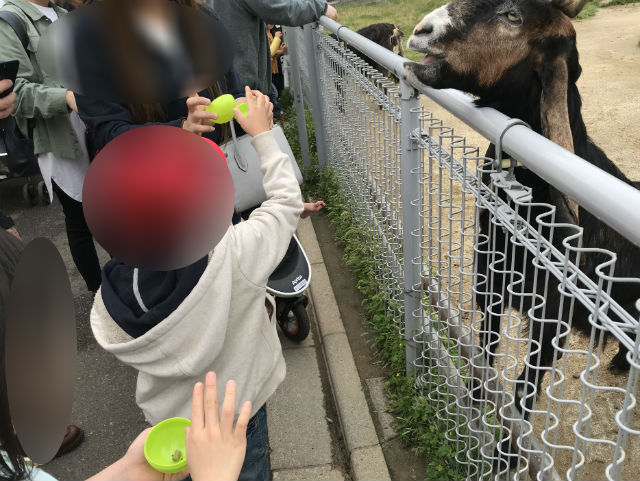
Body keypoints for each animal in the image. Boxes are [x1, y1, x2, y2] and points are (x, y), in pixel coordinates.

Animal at [404, 0, 640, 420]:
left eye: (513, 15)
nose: (421, 30)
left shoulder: (552, 315)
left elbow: (526, 387)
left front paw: (509, 438)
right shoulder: (490, 283)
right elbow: (484, 352)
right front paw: (474, 406)